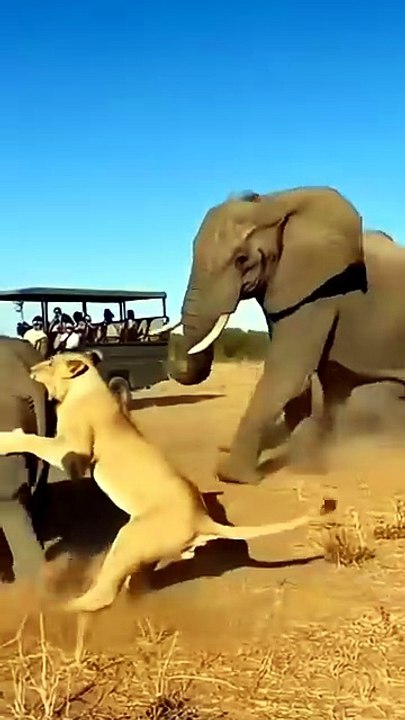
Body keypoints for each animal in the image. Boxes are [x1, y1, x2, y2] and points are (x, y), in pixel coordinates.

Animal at [166, 186, 371, 485]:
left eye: (241, 260)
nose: (169, 362)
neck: (274, 204)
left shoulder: (320, 293)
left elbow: (287, 374)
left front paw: (233, 476)